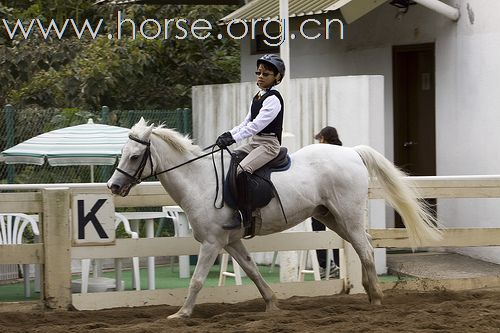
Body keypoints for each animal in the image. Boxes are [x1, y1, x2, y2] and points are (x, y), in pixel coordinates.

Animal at [106, 118, 442, 318]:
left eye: (134, 156)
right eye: (122, 152)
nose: (114, 186)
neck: (199, 181)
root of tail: (351, 152)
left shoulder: (212, 243)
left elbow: (197, 280)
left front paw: (182, 314)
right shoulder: (230, 242)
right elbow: (252, 271)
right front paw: (272, 304)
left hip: (348, 217)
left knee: (367, 250)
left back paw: (376, 299)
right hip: (333, 219)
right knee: (363, 248)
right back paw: (370, 293)